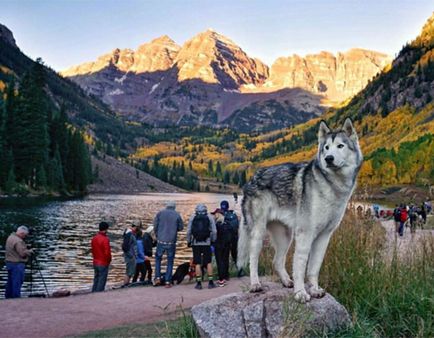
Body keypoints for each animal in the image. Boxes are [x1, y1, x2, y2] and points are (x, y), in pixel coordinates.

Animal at [237, 119, 362, 304]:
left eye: (340, 146)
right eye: (326, 147)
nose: (328, 158)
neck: (332, 186)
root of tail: (252, 178)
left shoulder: (324, 236)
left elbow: (314, 268)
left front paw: (314, 290)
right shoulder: (305, 234)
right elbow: (301, 267)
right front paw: (301, 293)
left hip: (285, 237)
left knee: (276, 261)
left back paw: (286, 281)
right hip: (258, 234)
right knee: (253, 260)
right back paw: (255, 284)